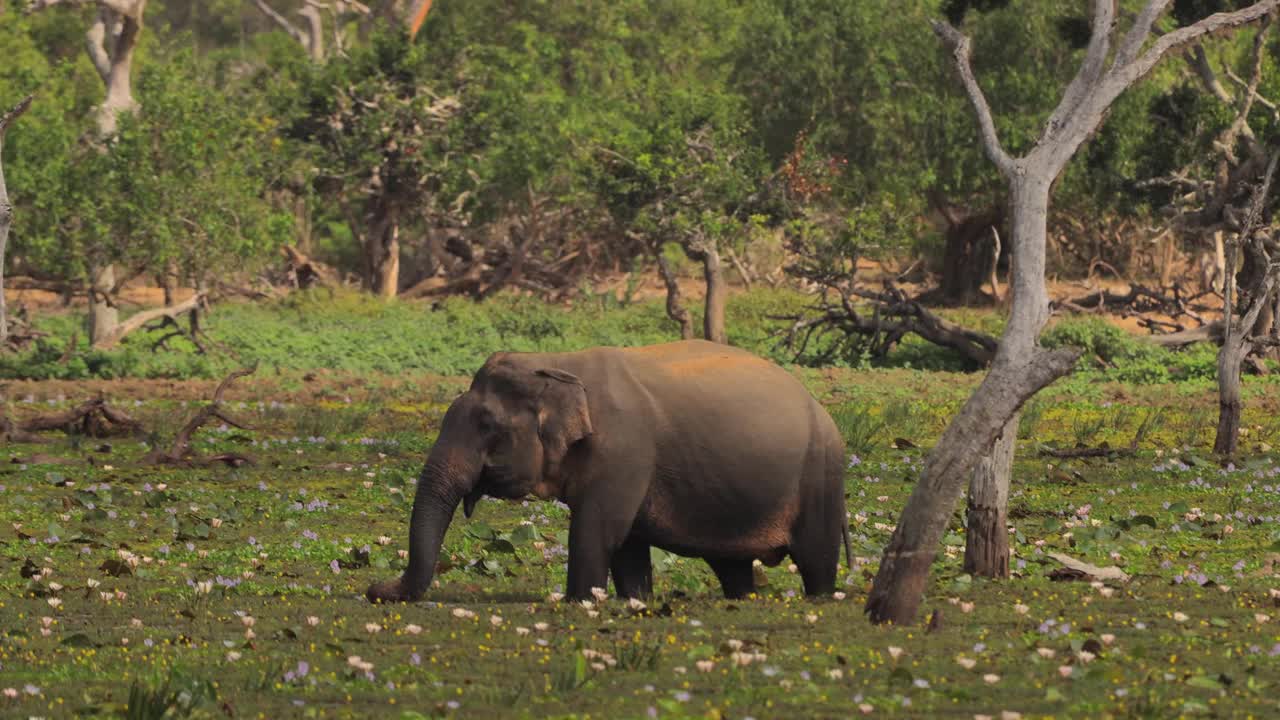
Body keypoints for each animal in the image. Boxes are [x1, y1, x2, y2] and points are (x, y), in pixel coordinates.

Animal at [371, 335, 849, 599]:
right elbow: (628, 543)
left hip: (820, 478)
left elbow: (599, 528)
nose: (375, 590)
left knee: (816, 561)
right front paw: (633, 601)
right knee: (733, 568)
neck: (557, 362)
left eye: (488, 426)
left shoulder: (623, 450)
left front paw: (579, 601)